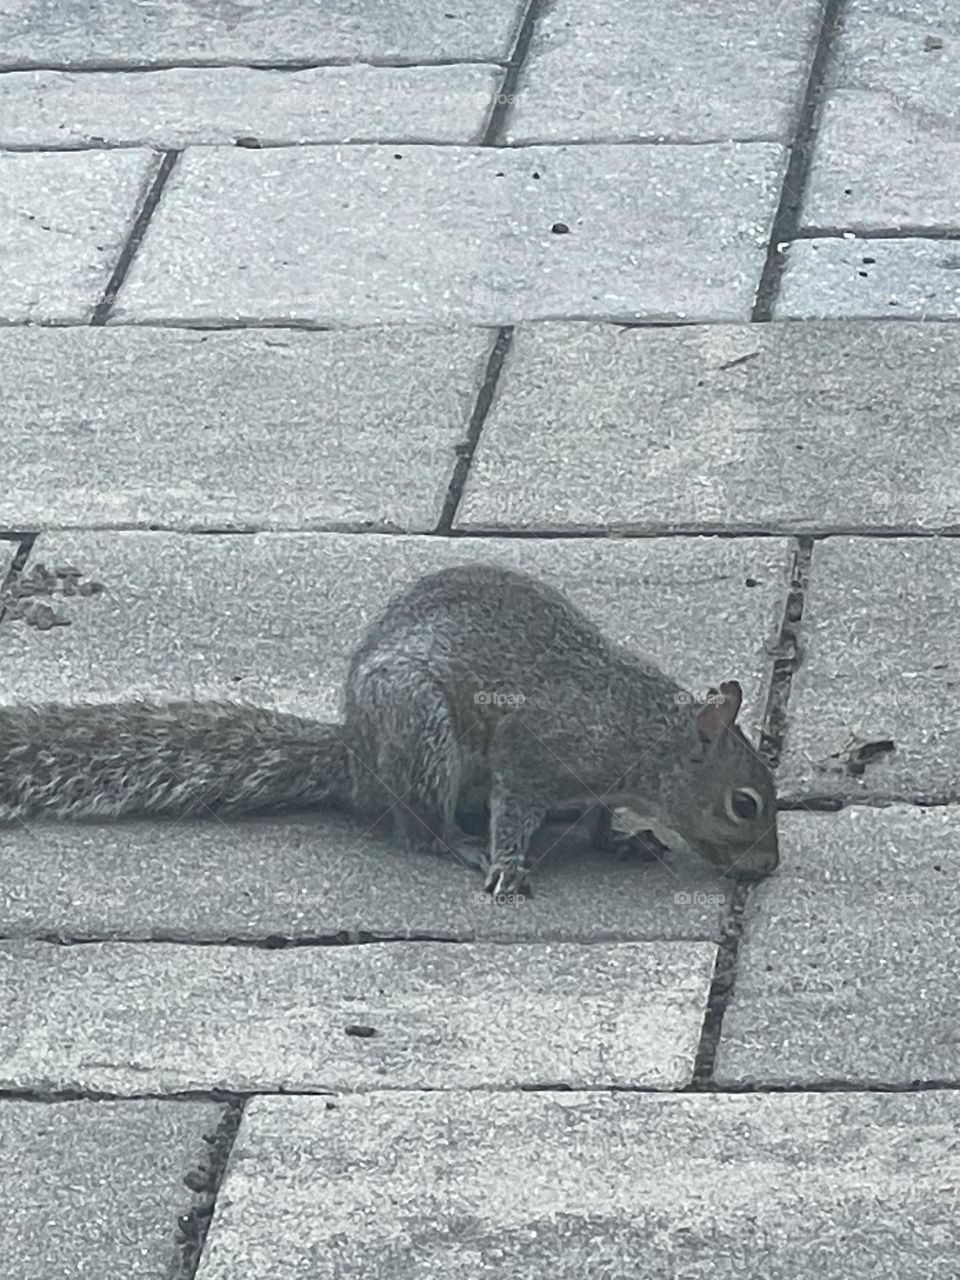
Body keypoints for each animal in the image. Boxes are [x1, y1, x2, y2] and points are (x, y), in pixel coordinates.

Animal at [0, 563, 779, 897]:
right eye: (744, 804)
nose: (767, 867)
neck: (642, 732)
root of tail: (356, 754)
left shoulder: (596, 785)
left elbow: (597, 818)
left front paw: (619, 842)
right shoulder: (532, 753)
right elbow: (514, 808)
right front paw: (508, 864)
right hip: (422, 733)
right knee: (418, 829)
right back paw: (460, 845)